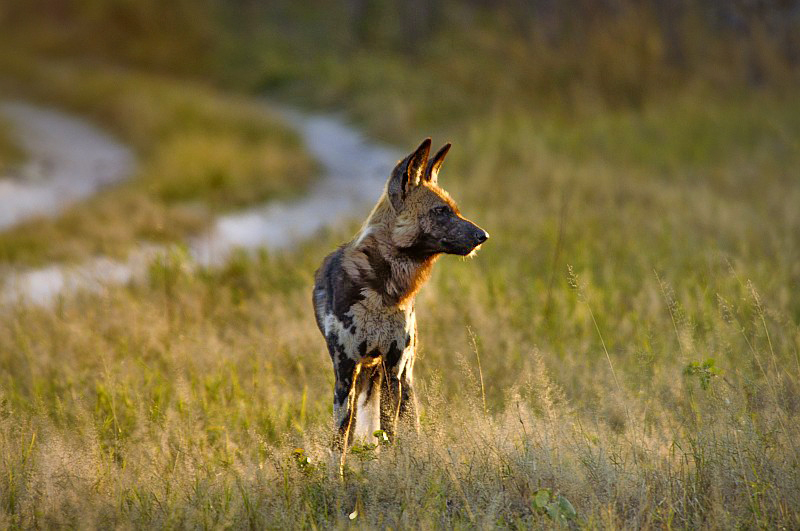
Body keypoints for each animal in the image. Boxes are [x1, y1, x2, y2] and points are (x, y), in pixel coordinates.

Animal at [312, 137, 488, 444]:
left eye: (454, 209)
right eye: (440, 211)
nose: (483, 236)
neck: (383, 289)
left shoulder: (393, 368)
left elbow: (390, 437)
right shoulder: (345, 374)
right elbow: (341, 443)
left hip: (404, 381)